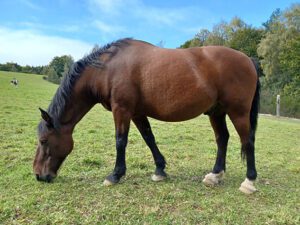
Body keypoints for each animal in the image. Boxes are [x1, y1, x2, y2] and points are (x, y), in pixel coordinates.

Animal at [34, 38, 260, 193]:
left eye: (44, 141)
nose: (38, 175)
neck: (108, 69)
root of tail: (248, 59)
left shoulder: (122, 110)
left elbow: (120, 141)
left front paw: (115, 175)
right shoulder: (137, 113)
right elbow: (149, 138)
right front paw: (160, 170)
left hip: (238, 112)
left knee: (247, 141)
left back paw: (249, 181)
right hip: (217, 112)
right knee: (222, 138)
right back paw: (215, 175)